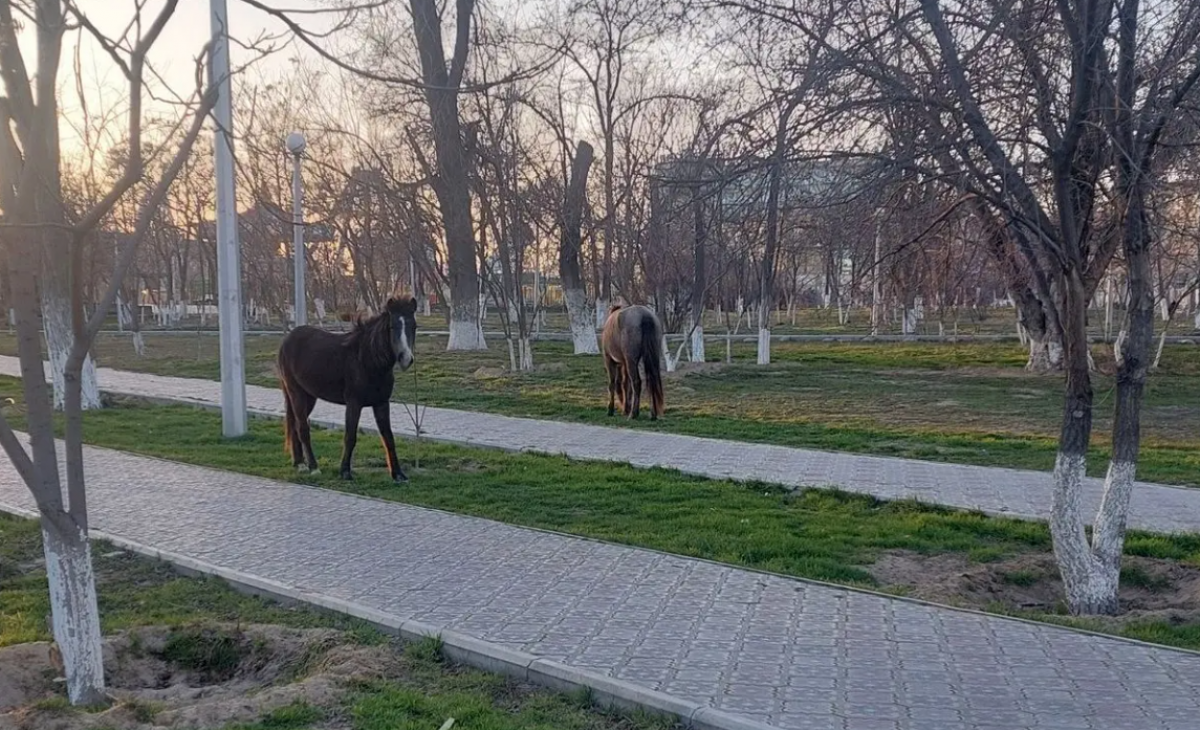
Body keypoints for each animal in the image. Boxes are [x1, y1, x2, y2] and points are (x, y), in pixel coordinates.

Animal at [277, 295, 417, 482]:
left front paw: (398, 474)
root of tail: (287, 340)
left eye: (413, 326)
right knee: (302, 428)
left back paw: (299, 463)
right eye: (392, 326)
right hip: (296, 393)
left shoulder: (381, 403)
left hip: (309, 396)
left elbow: (388, 436)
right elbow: (350, 436)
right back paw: (313, 467)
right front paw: (345, 471)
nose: (405, 358)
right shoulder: (353, 403)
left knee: (294, 425)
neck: (366, 360)